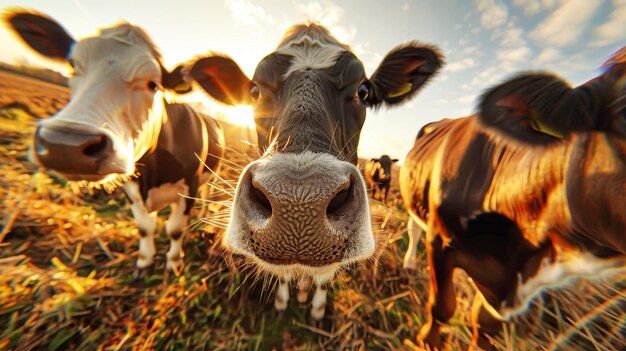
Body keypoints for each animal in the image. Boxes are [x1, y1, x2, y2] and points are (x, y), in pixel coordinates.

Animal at [5, 8, 224, 272]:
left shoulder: (188, 186)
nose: (65, 144)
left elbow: (175, 230)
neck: (152, 174)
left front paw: (173, 264)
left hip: (211, 177)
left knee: (206, 197)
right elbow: (145, 227)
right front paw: (144, 261)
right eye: (72, 65)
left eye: (154, 83)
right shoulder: (131, 188)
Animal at [183, 22, 442, 320]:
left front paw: (317, 310)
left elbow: (323, 278)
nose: (299, 204)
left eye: (363, 91)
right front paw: (282, 303)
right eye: (255, 91)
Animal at [400, 48, 624, 350]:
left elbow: (485, 323)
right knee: (413, 228)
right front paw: (428, 342)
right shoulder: (439, 241)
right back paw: (410, 263)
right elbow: (441, 307)